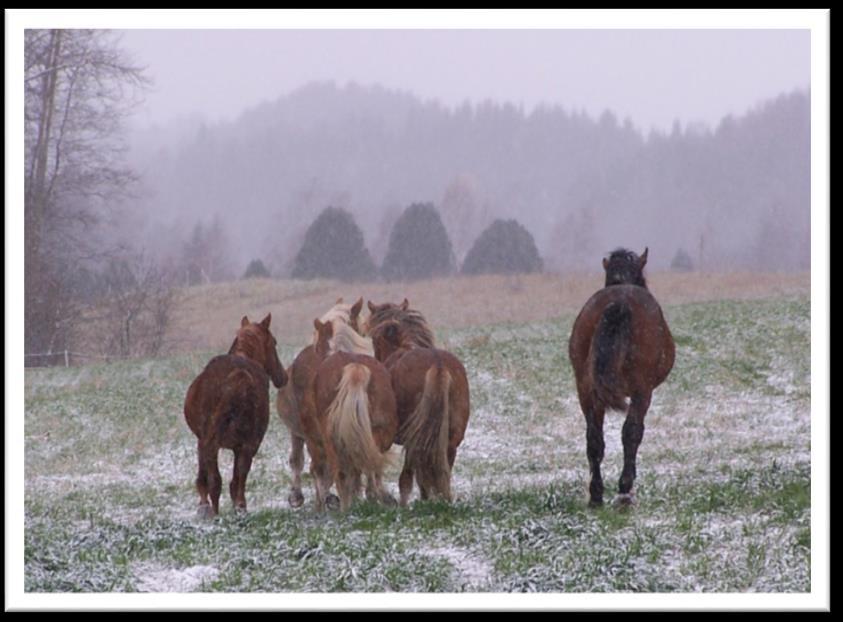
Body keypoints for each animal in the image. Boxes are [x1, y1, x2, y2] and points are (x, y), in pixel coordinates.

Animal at [185, 314, 290, 520]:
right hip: (246, 442)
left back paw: (219, 511)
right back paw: (238, 507)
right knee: (238, 474)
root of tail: (238, 378)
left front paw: (204, 505)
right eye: (274, 342)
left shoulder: (204, 440)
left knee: (217, 479)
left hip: (219, 442)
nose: (283, 376)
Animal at [300, 320, 398, 516]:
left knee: (341, 472)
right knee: (372, 466)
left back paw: (346, 508)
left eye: (316, 346)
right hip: (379, 433)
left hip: (332, 440)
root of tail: (355, 369)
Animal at [364, 302, 472, 508]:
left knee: (409, 474)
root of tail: (438, 366)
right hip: (450, 437)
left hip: (414, 436)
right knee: (439, 466)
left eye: (374, 338)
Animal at [568, 246, 680, 510]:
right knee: (631, 432)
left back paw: (596, 494)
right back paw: (625, 490)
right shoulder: (644, 391)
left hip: (586, 390)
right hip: (641, 390)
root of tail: (619, 301)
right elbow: (635, 431)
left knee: (594, 439)